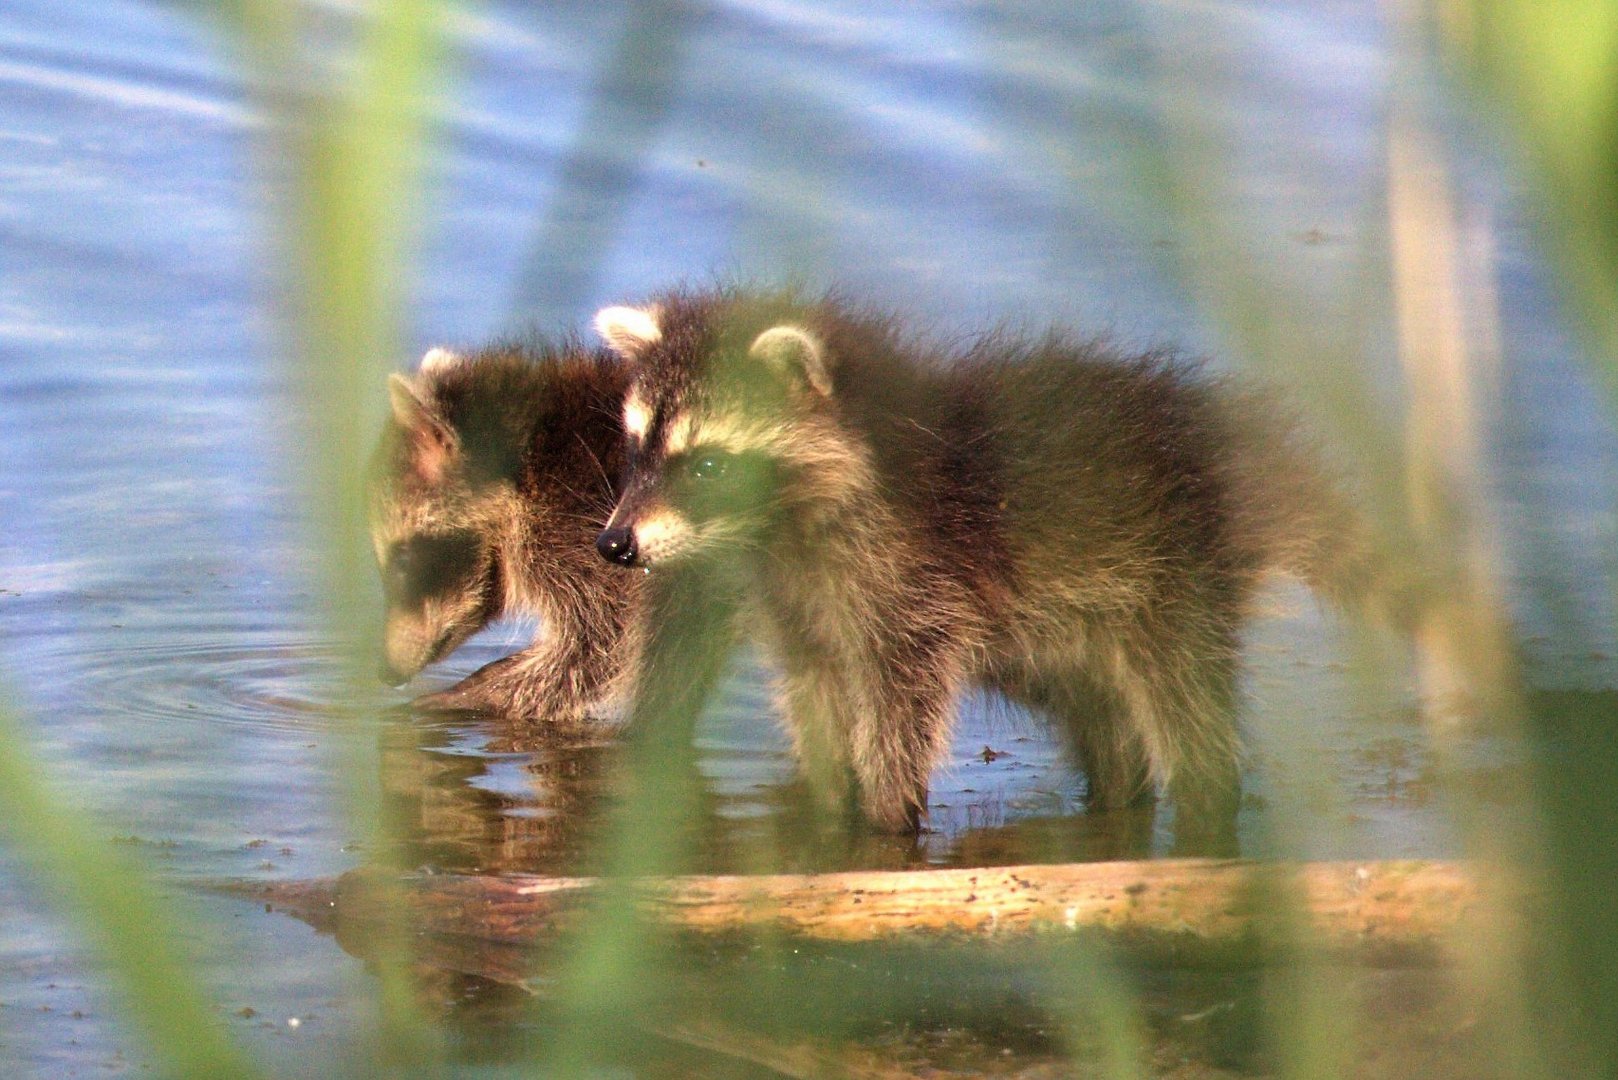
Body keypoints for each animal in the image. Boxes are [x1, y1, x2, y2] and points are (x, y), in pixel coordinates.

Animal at [588, 291, 1372, 848]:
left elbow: (901, 711)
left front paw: (887, 816)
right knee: (1104, 720)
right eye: (635, 448)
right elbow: (818, 699)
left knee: (1187, 707)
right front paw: (831, 811)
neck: (789, 527)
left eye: (708, 465)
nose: (616, 544)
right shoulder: (801, 605)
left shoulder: (914, 581)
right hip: (1073, 640)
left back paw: (1206, 794)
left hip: (1174, 581)